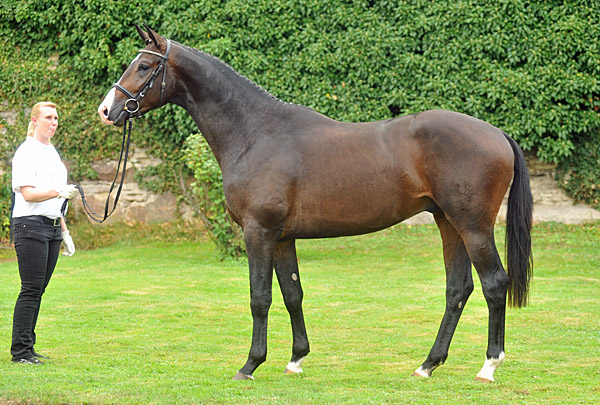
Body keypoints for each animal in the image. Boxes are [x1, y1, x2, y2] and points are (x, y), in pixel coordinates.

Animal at [98, 26, 536, 382]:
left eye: (143, 66)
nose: (107, 110)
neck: (255, 133)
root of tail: (496, 133)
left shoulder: (258, 232)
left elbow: (260, 297)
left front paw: (250, 365)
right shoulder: (281, 238)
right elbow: (292, 294)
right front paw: (295, 360)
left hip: (473, 226)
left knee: (494, 284)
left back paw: (488, 366)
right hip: (448, 223)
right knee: (457, 289)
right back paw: (428, 365)